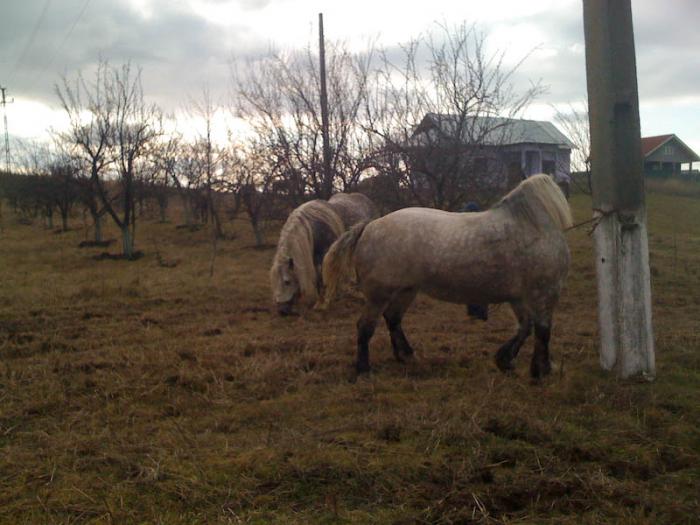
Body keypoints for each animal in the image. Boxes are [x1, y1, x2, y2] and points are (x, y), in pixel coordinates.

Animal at [322, 175, 576, 376]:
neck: (533, 227)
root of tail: (369, 226)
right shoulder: (544, 293)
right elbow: (542, 331)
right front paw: (541, 370)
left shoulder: (520, 297)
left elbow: (526, 327)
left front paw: (505, 360)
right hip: (379, 295)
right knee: (365, 326)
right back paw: (364, 368)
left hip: (406, 291)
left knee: (393, 319)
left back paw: (406, 355)